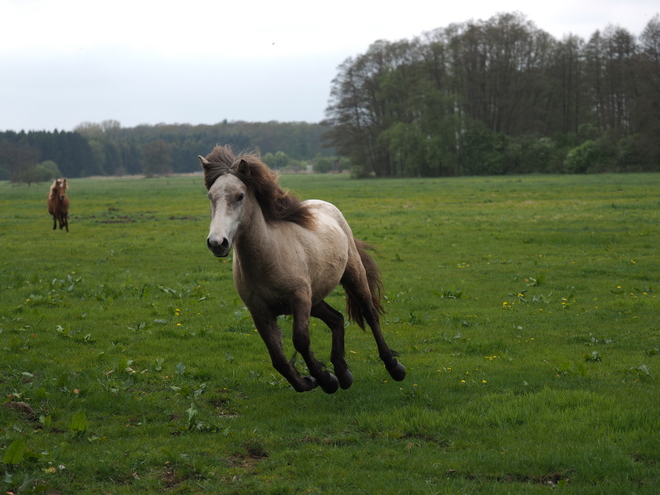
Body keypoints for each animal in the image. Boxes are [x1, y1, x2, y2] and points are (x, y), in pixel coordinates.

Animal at [200, 145, 408, 394]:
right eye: (211, 197)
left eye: (240, 196)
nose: (217, 243)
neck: (268, 257)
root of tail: (326, 205)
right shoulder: (260, 312)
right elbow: (277, 358)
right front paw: (311, 381)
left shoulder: (299, 299)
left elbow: (300, 340)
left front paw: (326, 381)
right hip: (315, 298)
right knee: (337, 319)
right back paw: (343, 373)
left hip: (352, 276)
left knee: (370, 314)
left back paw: (393, 367)